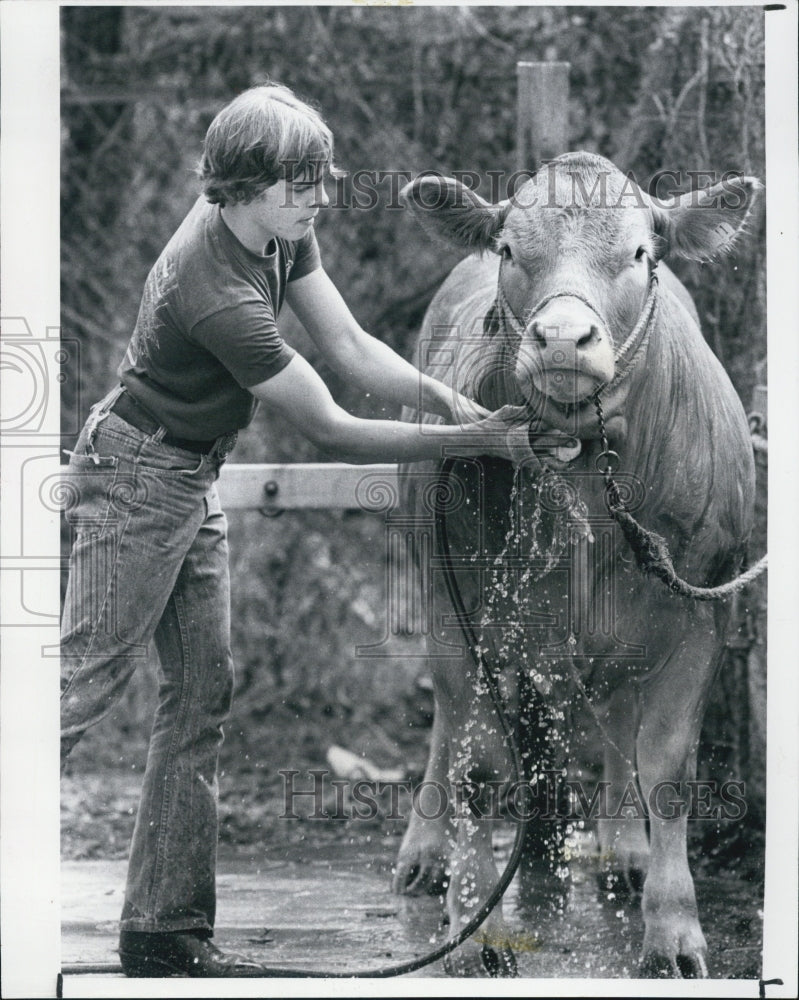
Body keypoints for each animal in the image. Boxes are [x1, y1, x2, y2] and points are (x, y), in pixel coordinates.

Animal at [391, 152, 760, 978]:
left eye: (639, 253)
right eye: (507, 249)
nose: (562, 339)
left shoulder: (701, 613)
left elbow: (667, 770)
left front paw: (673, 931)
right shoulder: (463, 609)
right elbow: (478, 766)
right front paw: (475, 929)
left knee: (615, 716)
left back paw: (620, 850)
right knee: (453, 727)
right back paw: (429, 852)